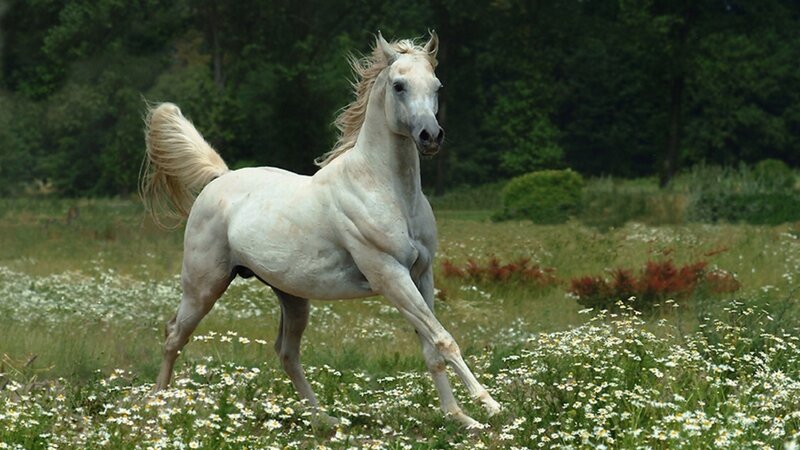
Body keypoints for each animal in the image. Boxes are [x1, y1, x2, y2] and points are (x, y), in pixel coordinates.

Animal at [140, 31, 501, 429]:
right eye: (399, 85)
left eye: (437, 86)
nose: (430, 136)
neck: (385, 190)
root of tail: (220, 178)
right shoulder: (390, 276)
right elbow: (442, 339)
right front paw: (489, 405)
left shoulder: (421, 275)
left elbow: (431, 346)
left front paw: (461, 418)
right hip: (203, 286)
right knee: (174, 335)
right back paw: (156, 408)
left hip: (291, 296)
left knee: (286, 353)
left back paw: (325, 420)